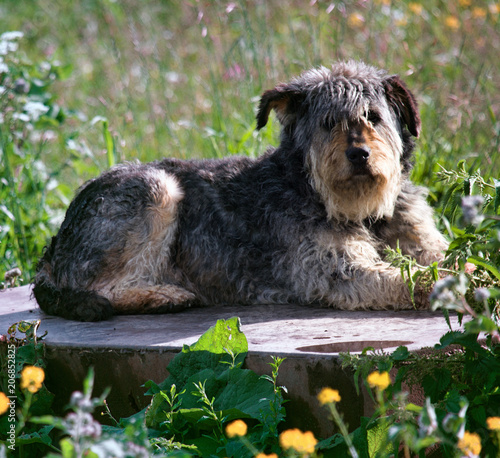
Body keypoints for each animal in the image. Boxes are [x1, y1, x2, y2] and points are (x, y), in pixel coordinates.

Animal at [34, 60, 450, 320]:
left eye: (373, 117)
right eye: (329, 123)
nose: (359, 154)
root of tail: (53, 247)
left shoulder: (421, 240)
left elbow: (437, 258)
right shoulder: (337, 270)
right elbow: (410, 279)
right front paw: (460, 286)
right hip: (156, 188)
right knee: (102, 289)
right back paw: (162, 296)